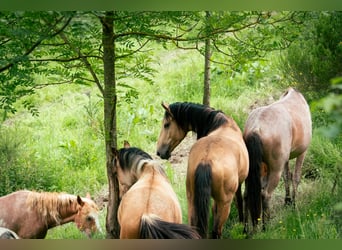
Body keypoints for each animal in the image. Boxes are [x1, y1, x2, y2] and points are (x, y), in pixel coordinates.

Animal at [156, 102, 248, 238]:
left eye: (166, 125)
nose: (158, 152)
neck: (222, 123)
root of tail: (206, 160)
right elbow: (240, 202)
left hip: (192, 200)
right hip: (224, 203)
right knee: (216, 231)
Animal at [243, 87, 312, 231]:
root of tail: (256, 127)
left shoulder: (285, 160)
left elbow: (287, 176)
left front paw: (288, 201)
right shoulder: (302, 152)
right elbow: (296, 177)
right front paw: (294, 204)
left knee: (246, 195)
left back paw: (246, 230)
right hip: (275, 170)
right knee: (266, 195)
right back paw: (265, 227)